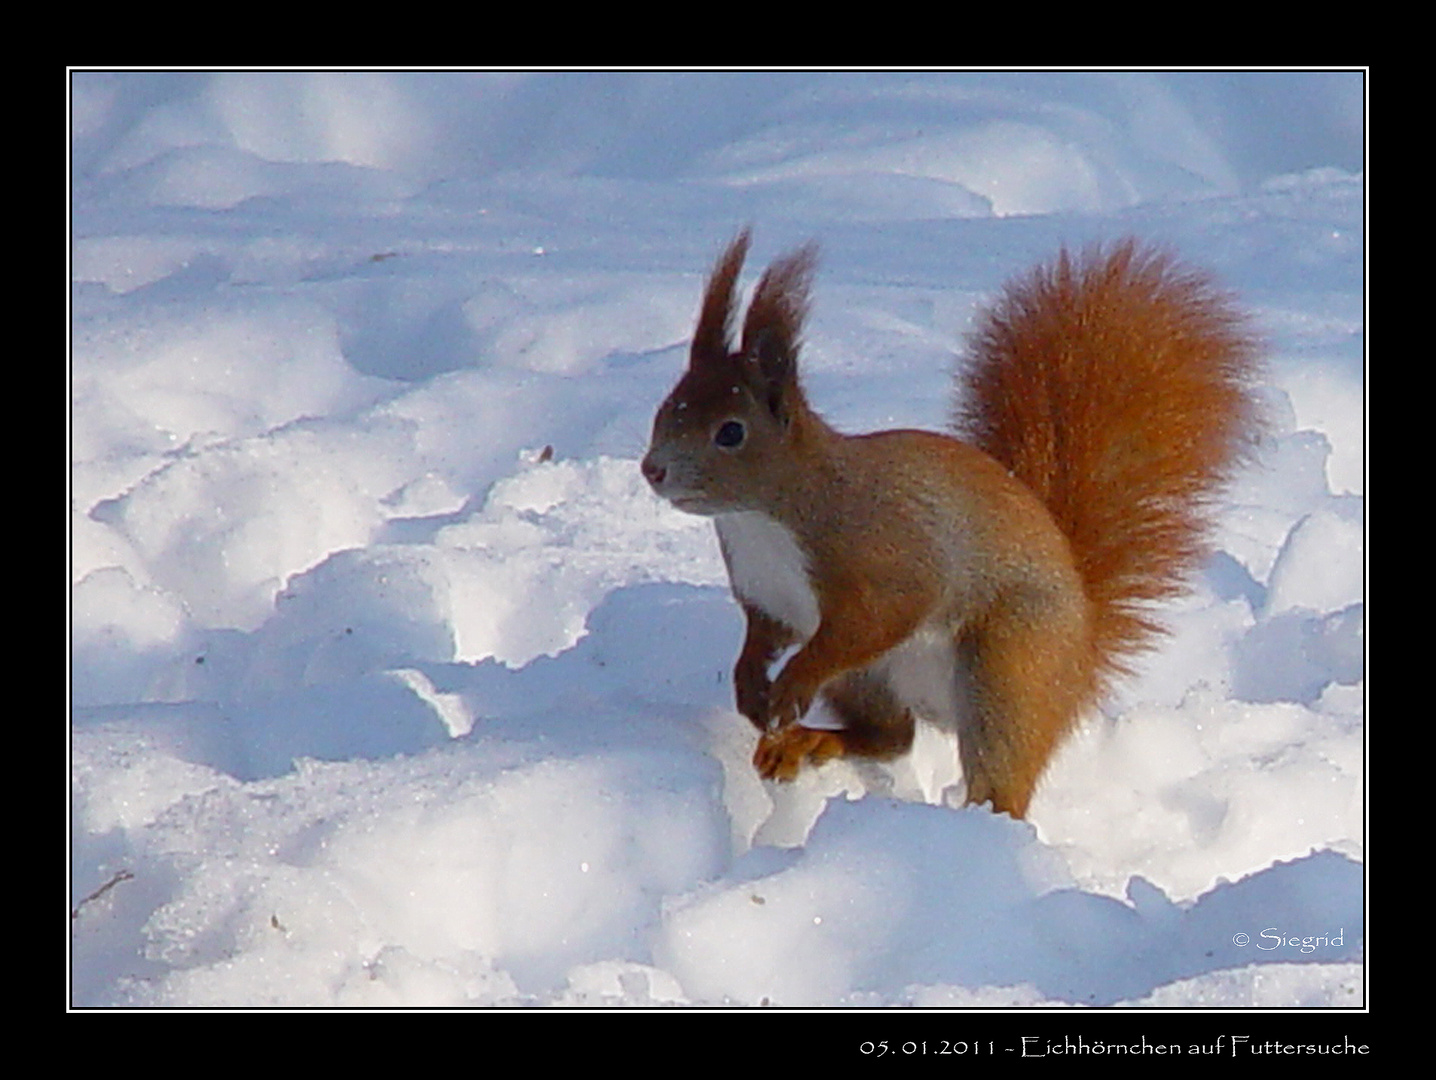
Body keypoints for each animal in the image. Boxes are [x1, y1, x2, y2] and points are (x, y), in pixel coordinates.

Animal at [640, 229, 1257, 815]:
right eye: (666, 407)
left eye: (731, 432)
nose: (652, 470)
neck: (762, 517)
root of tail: (1081, 650)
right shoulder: (766, 595)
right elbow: (764, 634)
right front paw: (750, 687)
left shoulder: (882, 556)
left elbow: (871, 620)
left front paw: (791, 686)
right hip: (871, 680)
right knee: (891, 736)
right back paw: (807, 743)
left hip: (1007, 668)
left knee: (997, 773)